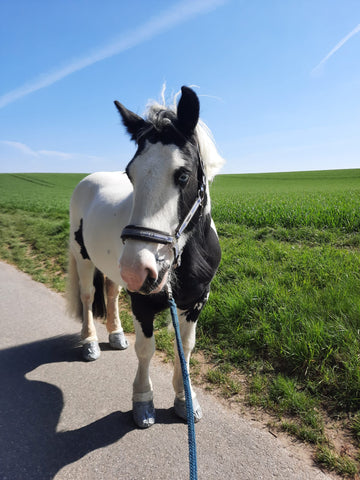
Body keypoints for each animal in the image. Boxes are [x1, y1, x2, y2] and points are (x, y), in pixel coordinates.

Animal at [67, 86, 224, 428]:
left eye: (183, 175)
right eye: (130, 174)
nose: (139, 269)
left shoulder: (197, 301)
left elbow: (185, 348)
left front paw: (185, 400)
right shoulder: (141, 301)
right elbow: (145, 349)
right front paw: (143, 401)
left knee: (111, 293)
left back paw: (115, 335)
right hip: (84, 259)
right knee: (87, 297)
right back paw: (90, 342)